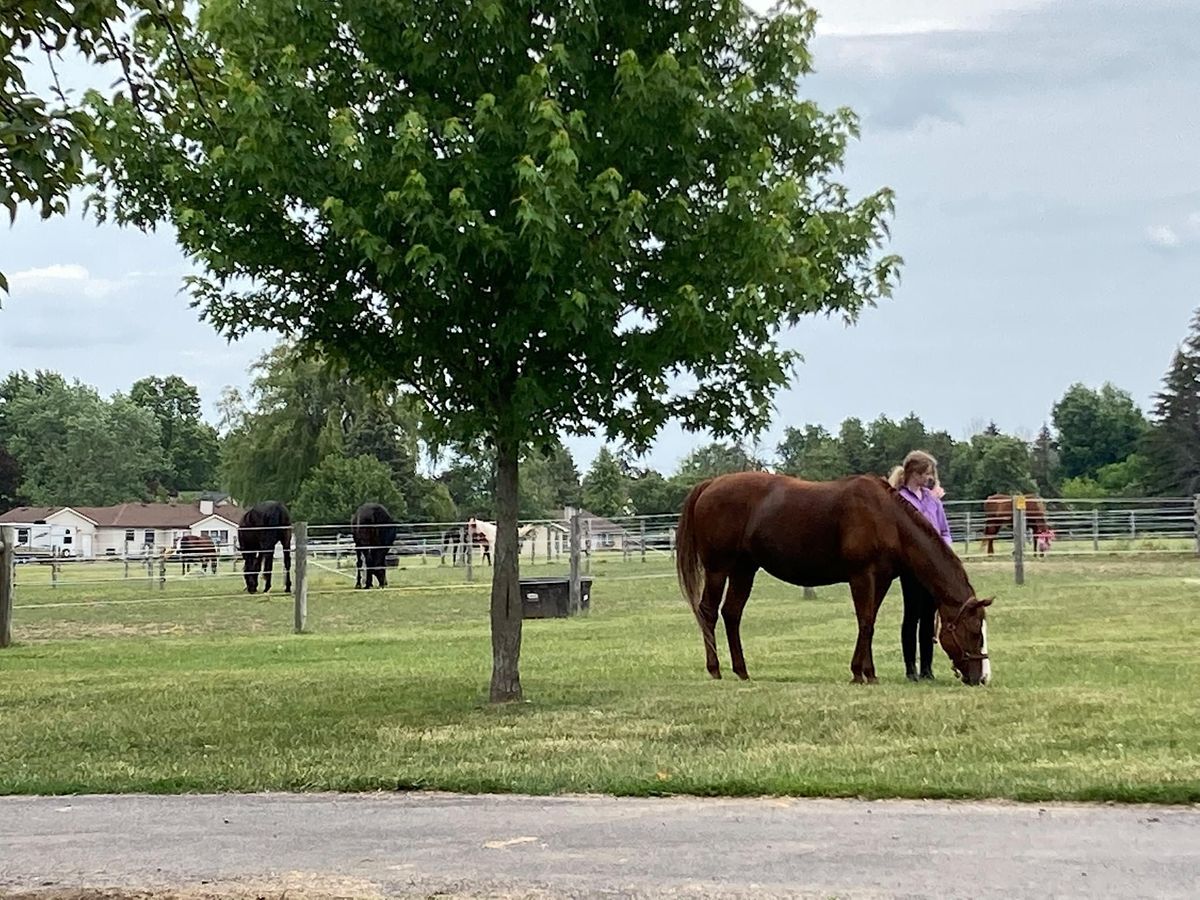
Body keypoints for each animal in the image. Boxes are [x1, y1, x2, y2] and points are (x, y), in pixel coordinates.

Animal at [676, 475, 993, 686]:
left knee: (732, 614)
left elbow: (870, 623)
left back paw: (741, 670)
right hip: (718, 569)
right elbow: (865, 622)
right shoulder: (861, 576)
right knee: (708, 612)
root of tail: (709, 485)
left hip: (744, 570)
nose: (981, 678)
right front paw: (857, 673)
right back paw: (715, 668)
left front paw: (869, 673)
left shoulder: (881, 579)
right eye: (974, 633)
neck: (886, 518)